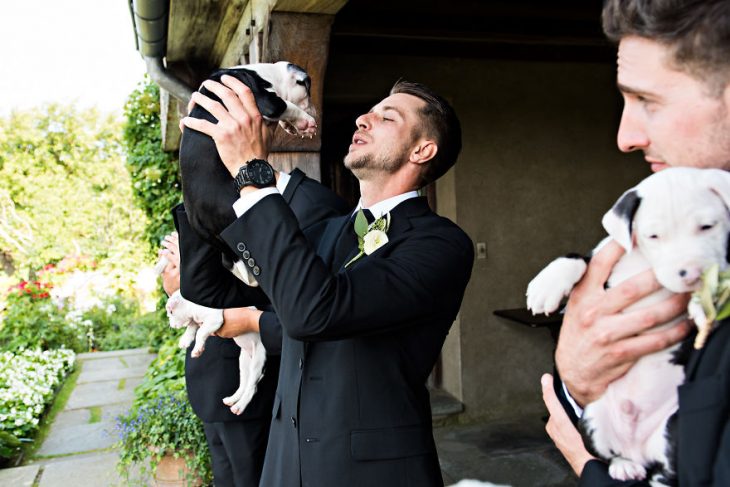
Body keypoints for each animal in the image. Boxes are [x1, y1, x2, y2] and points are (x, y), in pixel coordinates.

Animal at [524, 167, 728, 484]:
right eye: (653, 235)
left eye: (707, 226)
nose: (691, 273)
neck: (645, 262)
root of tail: (637, 450)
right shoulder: (601, 257)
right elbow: (576, 258)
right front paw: (546, 287)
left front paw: (707, 302)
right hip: (593, 419)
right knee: (609, 454)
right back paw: (623, 465)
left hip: (675, 425)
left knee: (665, 471)